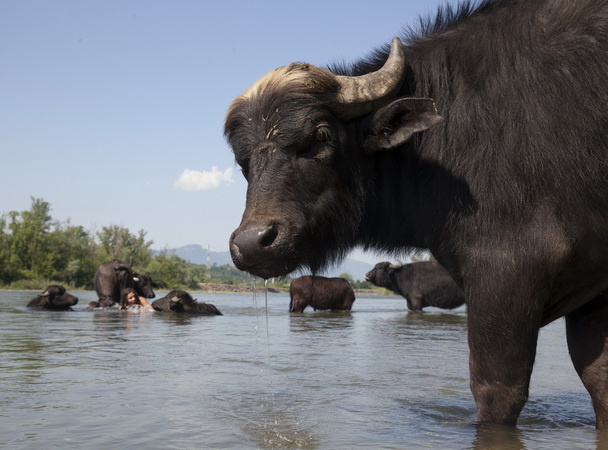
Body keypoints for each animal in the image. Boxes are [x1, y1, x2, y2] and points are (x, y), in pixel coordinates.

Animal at [224, 0, 608, 428]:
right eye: (242, 160)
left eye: (320, 135)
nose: (251, 243)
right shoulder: (595, 292)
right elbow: (600, 383)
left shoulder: (506, 275)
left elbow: (496, 391)